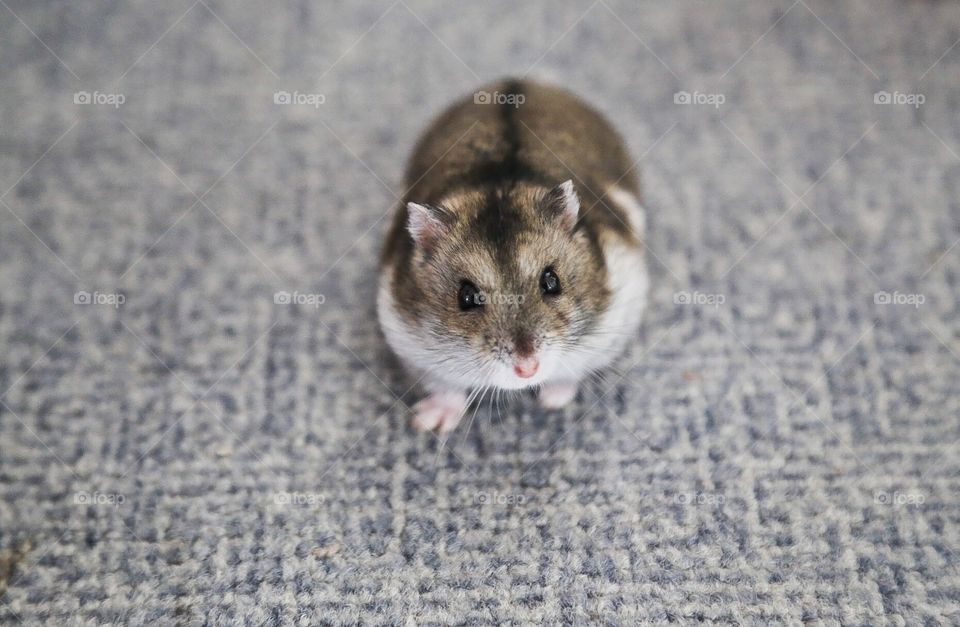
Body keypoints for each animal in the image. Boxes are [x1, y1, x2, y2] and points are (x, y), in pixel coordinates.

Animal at [378, 79, 648, 433]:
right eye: (466, 297)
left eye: (552, 281)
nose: (527, 369)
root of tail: (525, 80)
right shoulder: (410, 343)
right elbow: (446, 387)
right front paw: (428, 423)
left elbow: (570, 373)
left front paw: (551, 401)